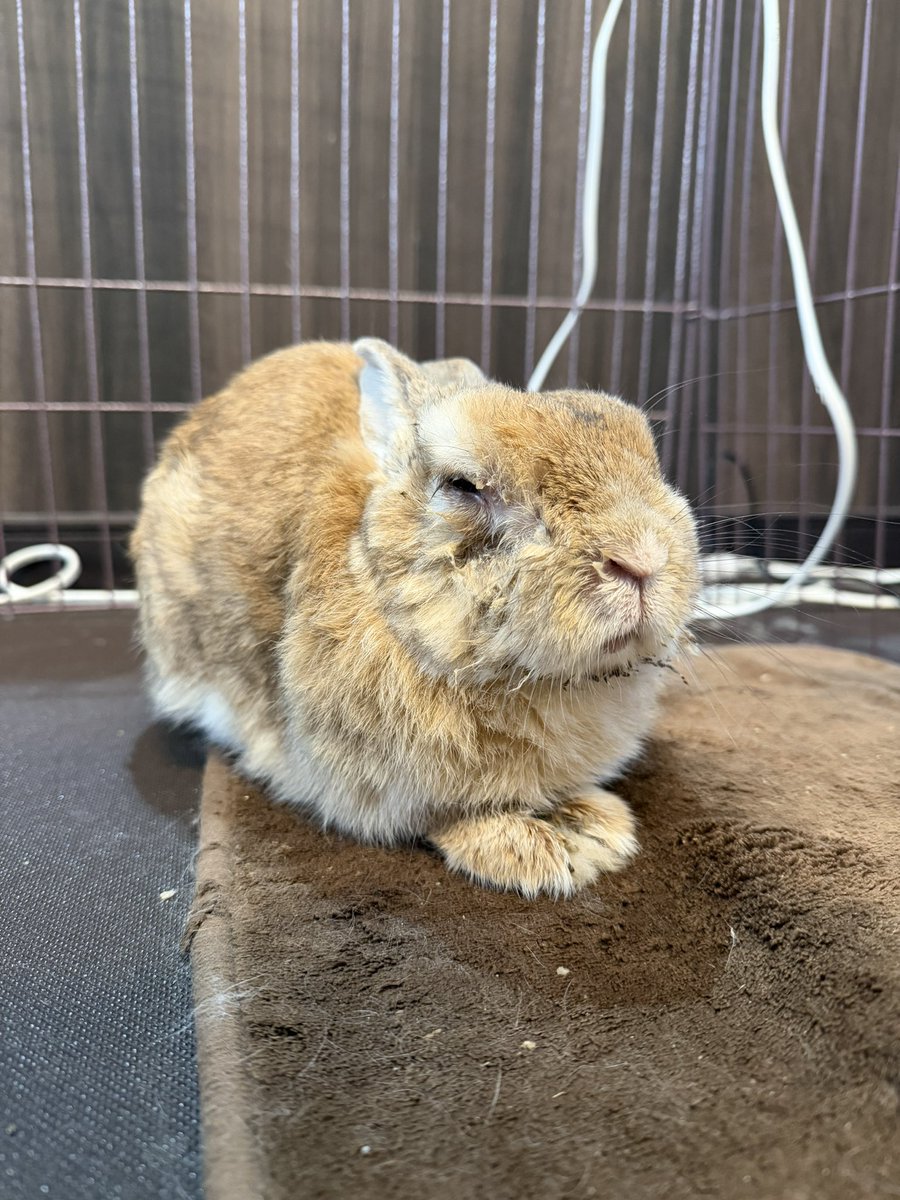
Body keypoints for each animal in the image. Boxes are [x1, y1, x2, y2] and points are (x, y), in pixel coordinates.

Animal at [132, 339, 699, 897]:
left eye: (649, 458)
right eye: (463, 486)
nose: (642, 558)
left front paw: (596, 829)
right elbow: (449, 817)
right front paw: (536, 850)